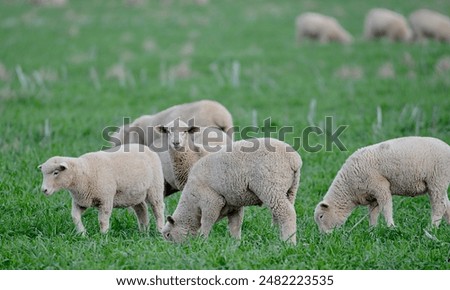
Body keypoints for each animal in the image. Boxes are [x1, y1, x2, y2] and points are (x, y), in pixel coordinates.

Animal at [160, 138, 300, 245]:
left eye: (168, 235)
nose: (170, 250)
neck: (191, 203)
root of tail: (294, 159)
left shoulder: (212, 201)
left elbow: (207, 222)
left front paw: (202, 241)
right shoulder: (234, 206)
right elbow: (235, 226)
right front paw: (236, 244)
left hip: (270, 186)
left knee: (286, 213)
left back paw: (289, 243)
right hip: (290, 189)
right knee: (284, 213)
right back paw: (281, 238)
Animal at [314, 136, 450, 233]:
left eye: (321, 216)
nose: (323, 236)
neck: (348, 188)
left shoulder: (380, 186)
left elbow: (386, 208)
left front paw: (391, 227)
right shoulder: (372, 195)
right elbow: (373, 214)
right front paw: (372, 230)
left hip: (437, 179)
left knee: (439, 206)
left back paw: (432, 228)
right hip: (441, 182)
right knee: (446, 205)